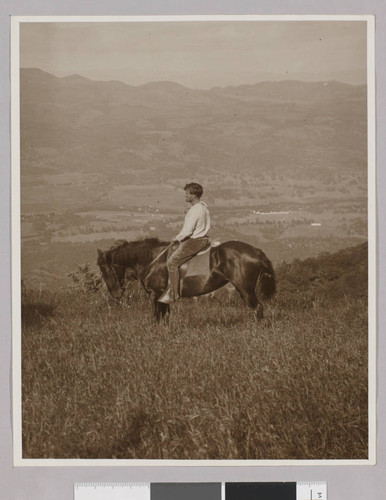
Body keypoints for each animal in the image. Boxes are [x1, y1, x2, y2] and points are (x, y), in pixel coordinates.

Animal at [98, 237, 276, 322]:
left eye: (104, 269)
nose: (115, 294)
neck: (152, 259)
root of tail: (255, 250)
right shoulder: (163, 297)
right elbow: (165, 317)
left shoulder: (156, 294)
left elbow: (157, 317)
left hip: (245, 288)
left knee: (257, 308)